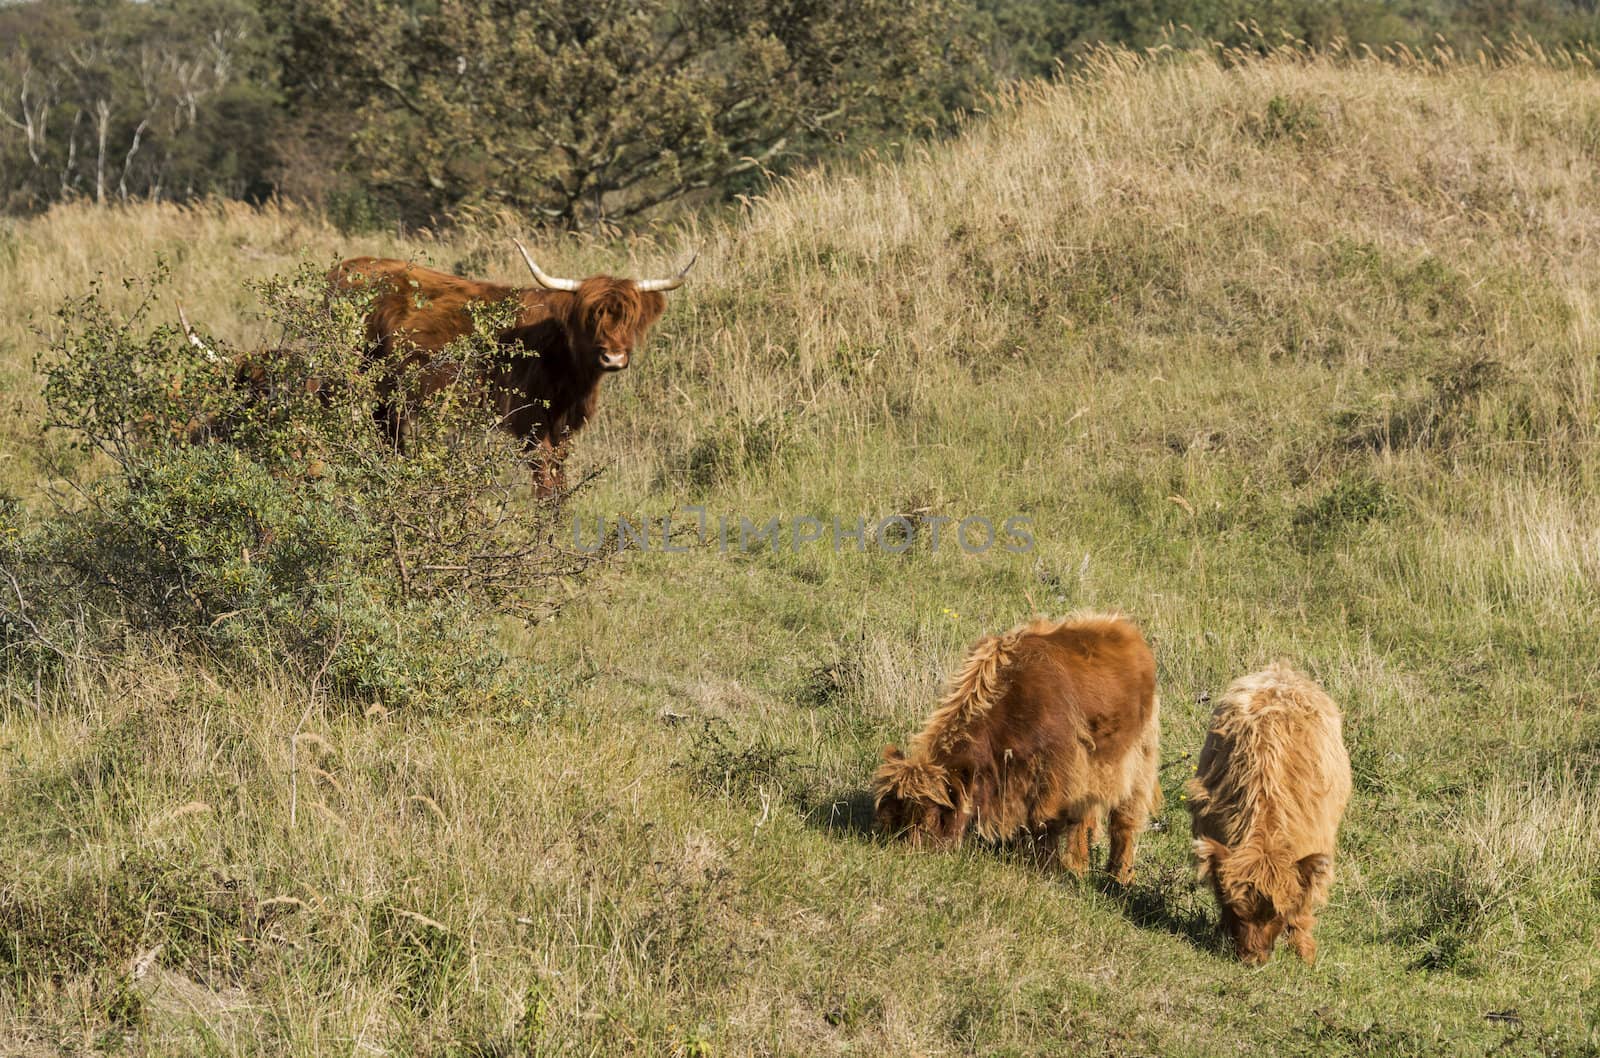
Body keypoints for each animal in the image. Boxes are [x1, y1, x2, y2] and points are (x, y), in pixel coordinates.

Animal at [876, 605, 1164, 877]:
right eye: (890, 819)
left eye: (928, 818)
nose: (904, 857)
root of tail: (1123, 627)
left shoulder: (1057, 772)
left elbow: (1045, 821)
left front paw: (1046, 869)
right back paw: (1079, 867)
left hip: (1137, 759)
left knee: (1125, 821)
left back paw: (1119, 877)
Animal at [1190, 665, 1350, 960]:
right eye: (1238, 911)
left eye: (1277, 914)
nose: (1253, 959)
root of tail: (1281, 671)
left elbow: (1305, 897)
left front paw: (1304, 952)